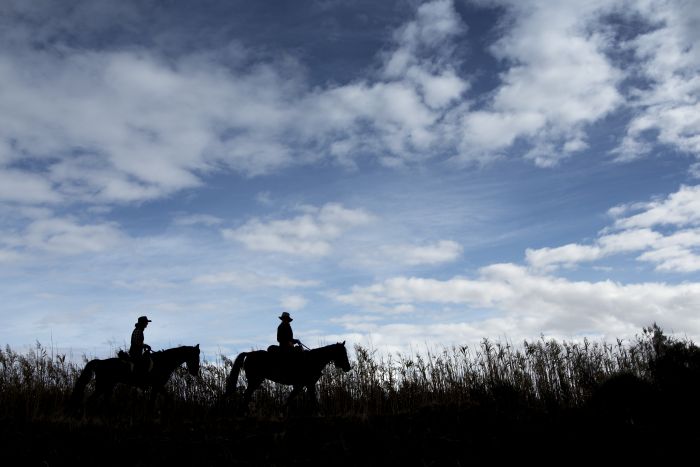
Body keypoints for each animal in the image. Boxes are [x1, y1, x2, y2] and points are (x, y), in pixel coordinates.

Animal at [70, 344, 200, 410]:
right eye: (195, 356)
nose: (195, 372)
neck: (164, 362)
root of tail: (100, 362)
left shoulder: (157, 386)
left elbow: (157, 400)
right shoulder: (157, 385)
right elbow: (164, 399)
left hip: (108, 386)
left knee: (104, 401)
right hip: (102, 385)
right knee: (90, 400)